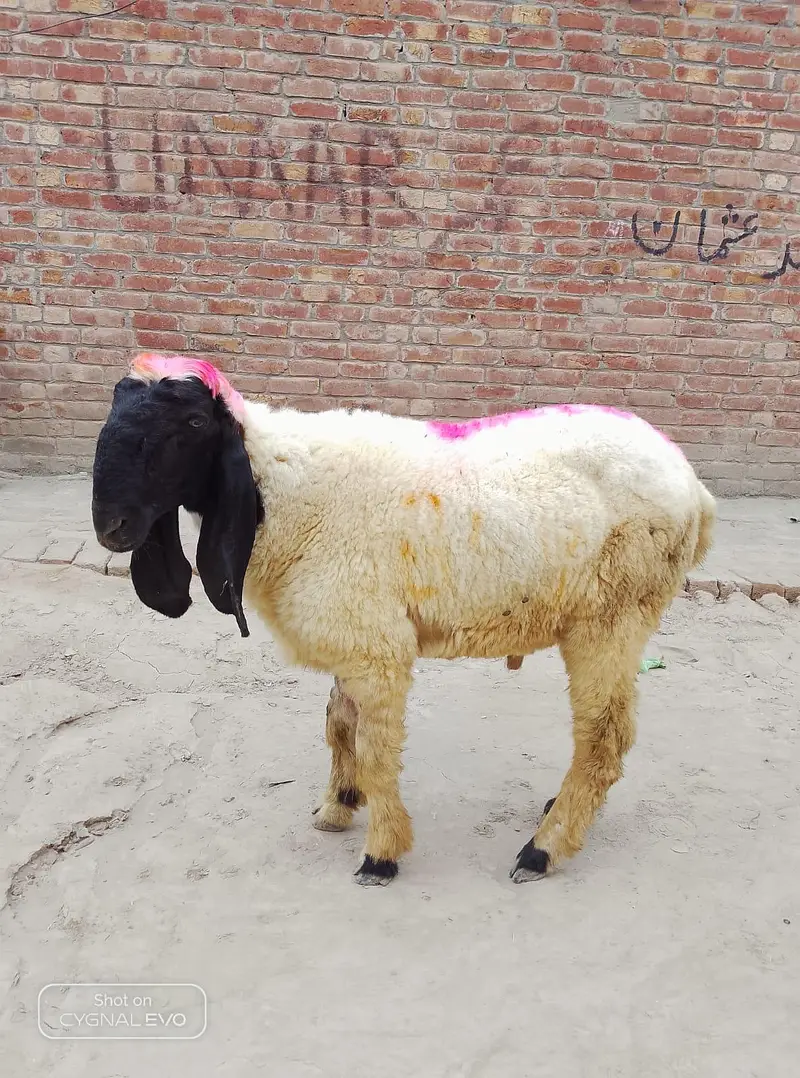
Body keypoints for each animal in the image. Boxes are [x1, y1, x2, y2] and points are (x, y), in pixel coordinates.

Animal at [92, 352, 716, 886]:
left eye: (195, 421)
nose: (111, 526)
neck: (287, 492)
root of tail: (693, 487)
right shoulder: (355, 637)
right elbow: (338, 726)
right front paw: (338, 805)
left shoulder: (378, 649)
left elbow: (375, 749)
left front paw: (381, 855)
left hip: (612, 618)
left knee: (604, 739)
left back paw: (543, 849)